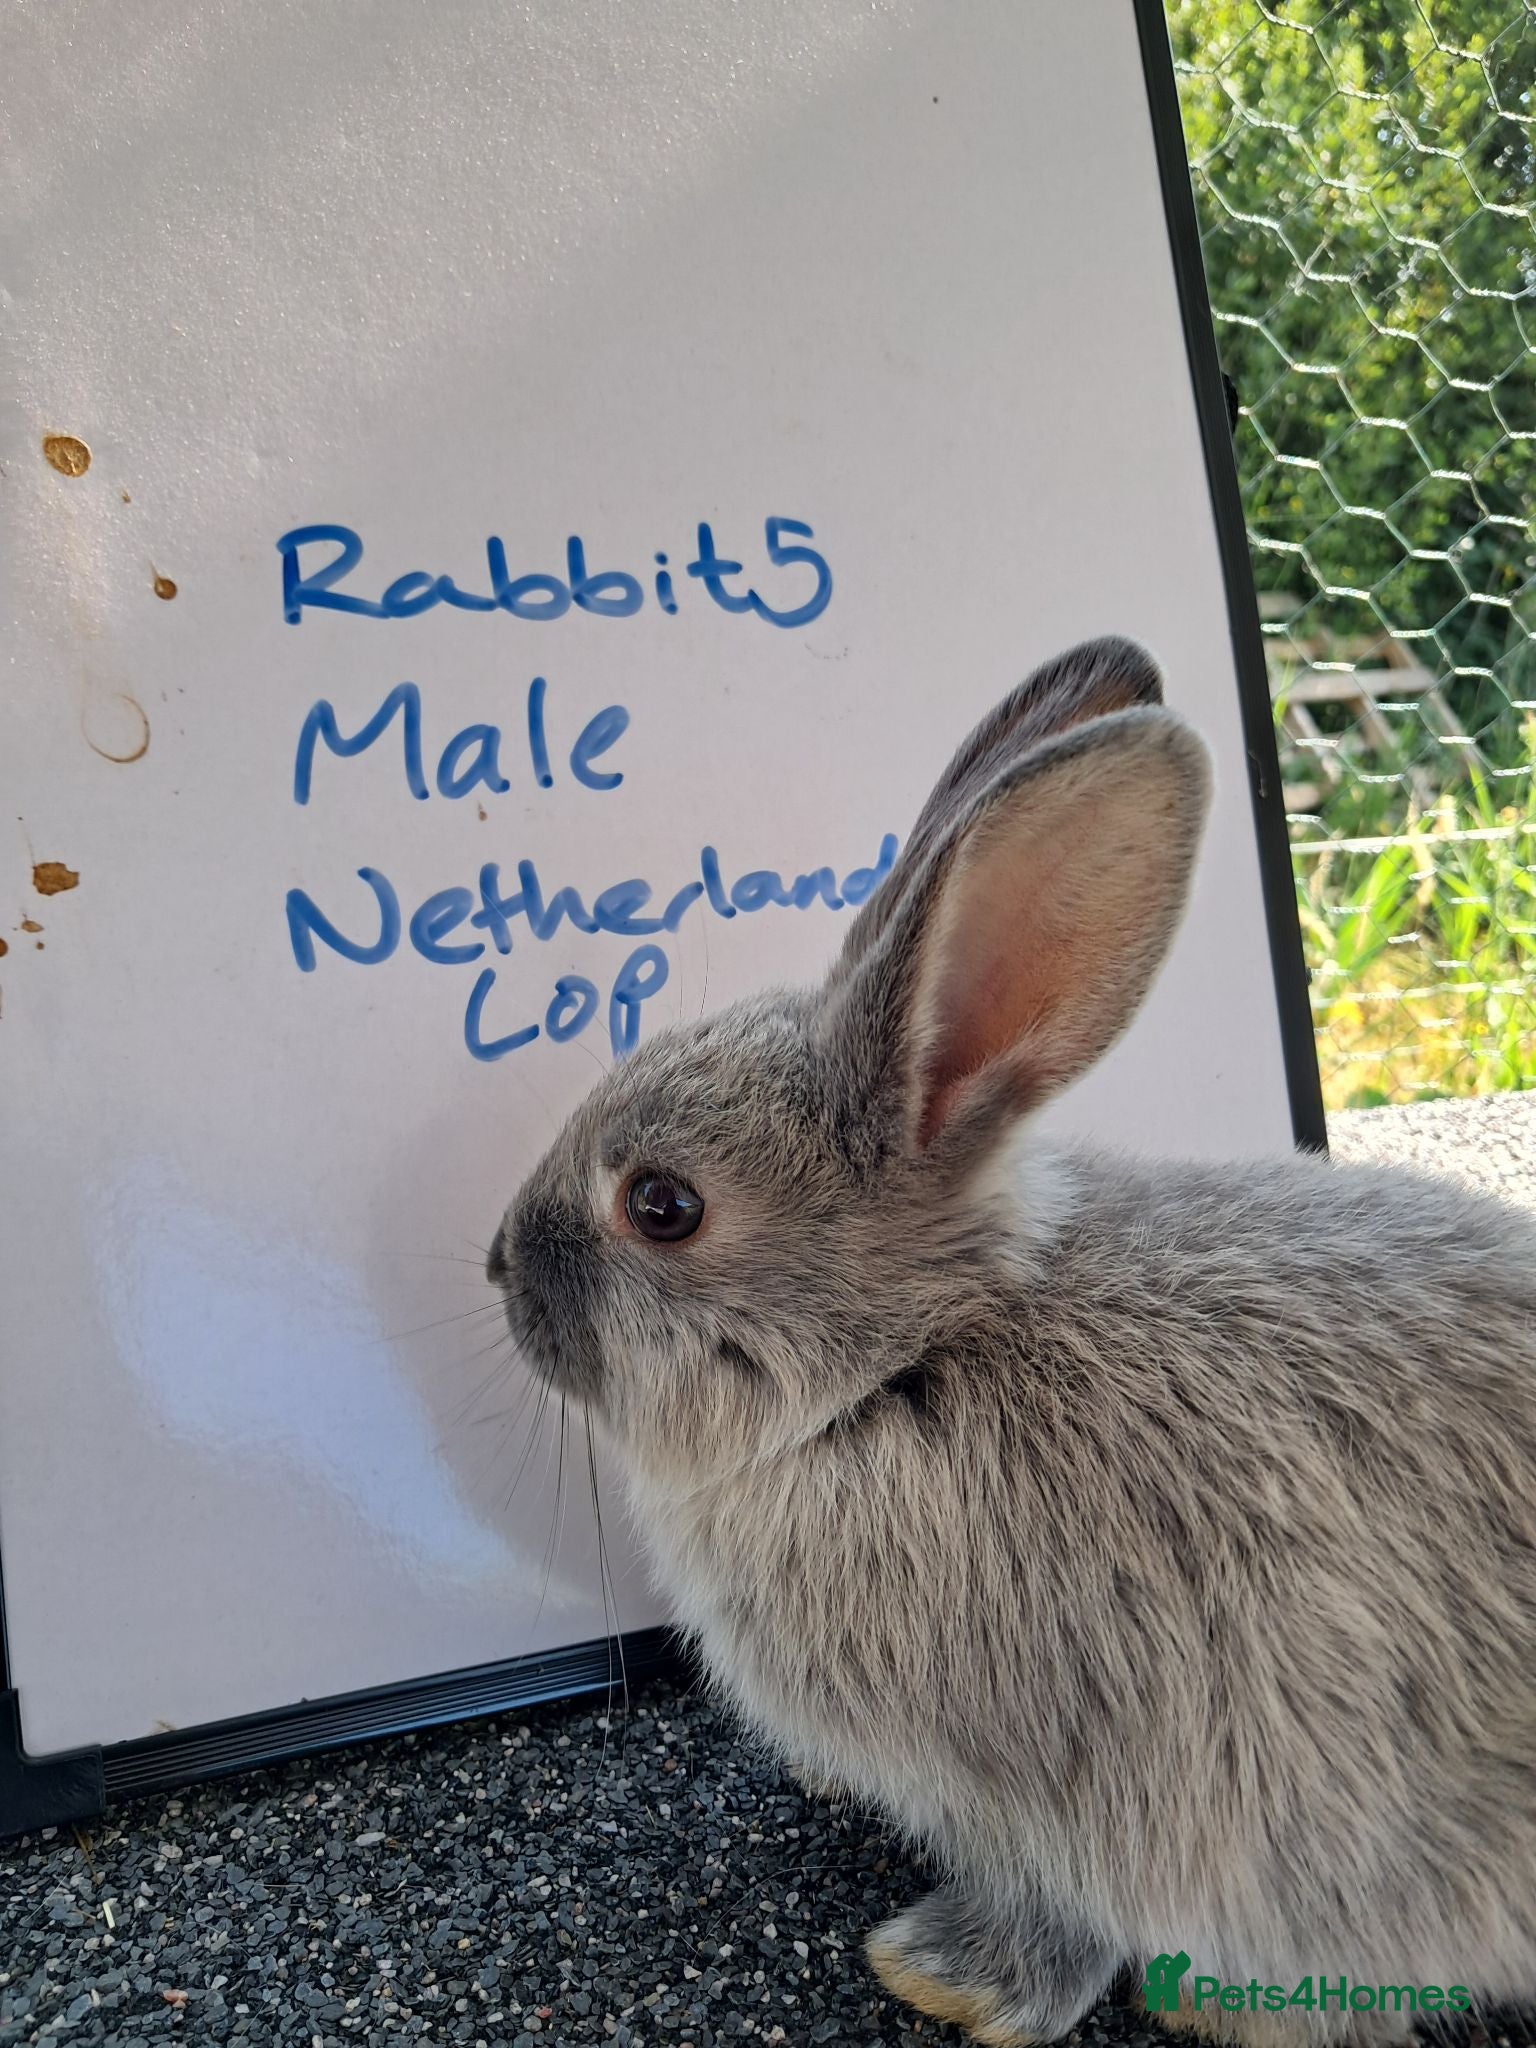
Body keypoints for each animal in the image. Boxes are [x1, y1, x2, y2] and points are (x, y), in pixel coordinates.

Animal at [486, 635, 1536, 2048]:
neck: (899, 1367)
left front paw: (940, 1975)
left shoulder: (1077, 1786)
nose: (497, 1264)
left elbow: (1062, 1910)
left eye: (662, 1205)